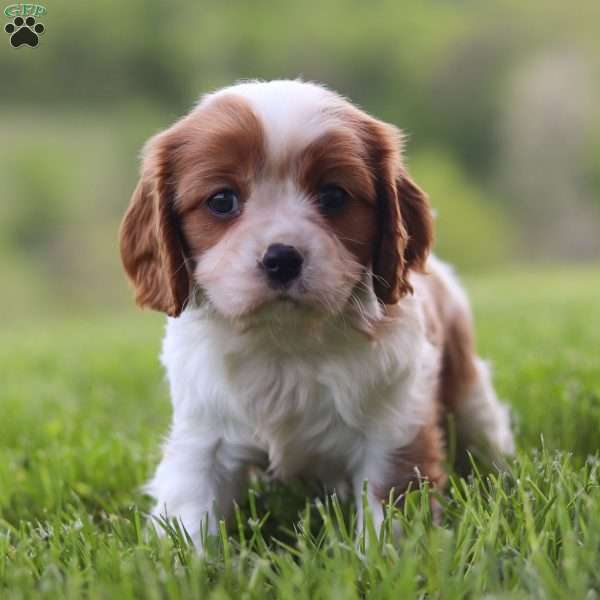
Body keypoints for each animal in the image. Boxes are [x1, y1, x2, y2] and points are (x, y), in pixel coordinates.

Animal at [119, 78, 512, 544]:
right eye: (221, 201)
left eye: (333, 196)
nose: (282, 259)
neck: (286, 342)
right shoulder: (202, 437)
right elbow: (189, 514)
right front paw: (187, 560)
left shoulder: (393, 432)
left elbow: (387, 514)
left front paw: (380, 557)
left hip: (466, 387)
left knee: (484, 427)